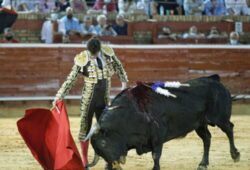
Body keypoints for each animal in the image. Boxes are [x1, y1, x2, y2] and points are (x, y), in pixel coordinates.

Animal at [87, 75, 239, 170]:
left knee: (229, 129)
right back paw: (203, 164)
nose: (113, 165)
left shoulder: (158, 136)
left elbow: (156, 155)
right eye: (98, 150)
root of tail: (214, 80)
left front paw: (155, 168)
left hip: (219, 118)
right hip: (199, 124)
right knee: (207, 138)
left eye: (103, 143)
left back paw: (235, 155)